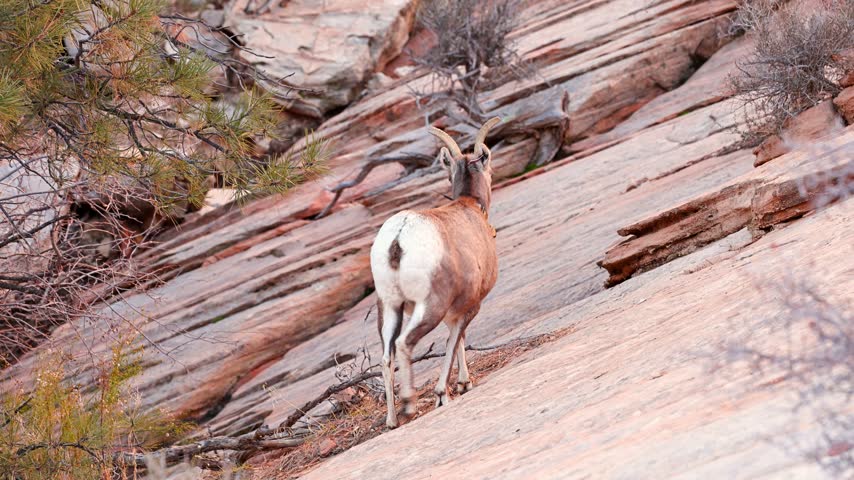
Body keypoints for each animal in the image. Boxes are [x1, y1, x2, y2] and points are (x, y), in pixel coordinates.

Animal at [369, 117, 501, 428]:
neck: (469, 208)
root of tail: (399, 237)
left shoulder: (455, 310)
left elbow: (458, 339)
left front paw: (464, 384)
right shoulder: (469, 307)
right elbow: (453, 342)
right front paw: (445, 394)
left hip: (389, 307)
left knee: (385, 357)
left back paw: (392, 420)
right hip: (429, 306)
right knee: (405, 344)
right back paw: (409, 404)